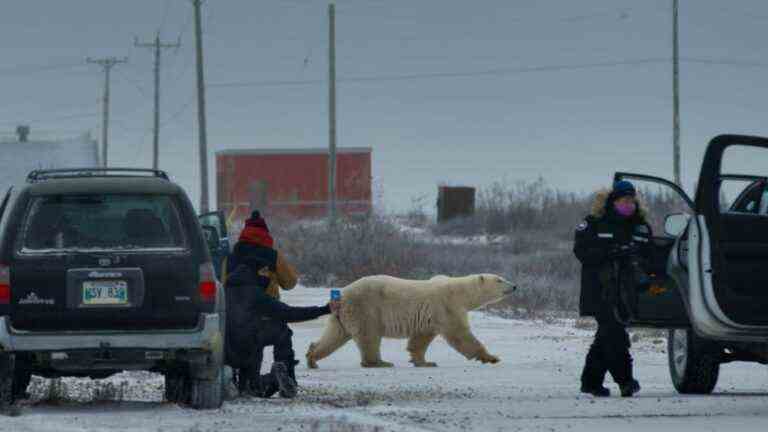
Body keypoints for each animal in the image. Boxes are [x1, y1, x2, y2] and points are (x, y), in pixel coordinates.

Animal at [306, 274, 516, 368]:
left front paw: (424, 361)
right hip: (365, 308)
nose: (514, 286)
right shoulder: (447, 307)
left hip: (342, 315)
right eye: (499, 280)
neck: (460, 293)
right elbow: (460, 335)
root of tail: (342, 295)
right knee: (368, 336)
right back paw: (379, 362)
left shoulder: (430, 316)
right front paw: (491, 357)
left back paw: (312, 357)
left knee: (334, 335)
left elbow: (421, 338)